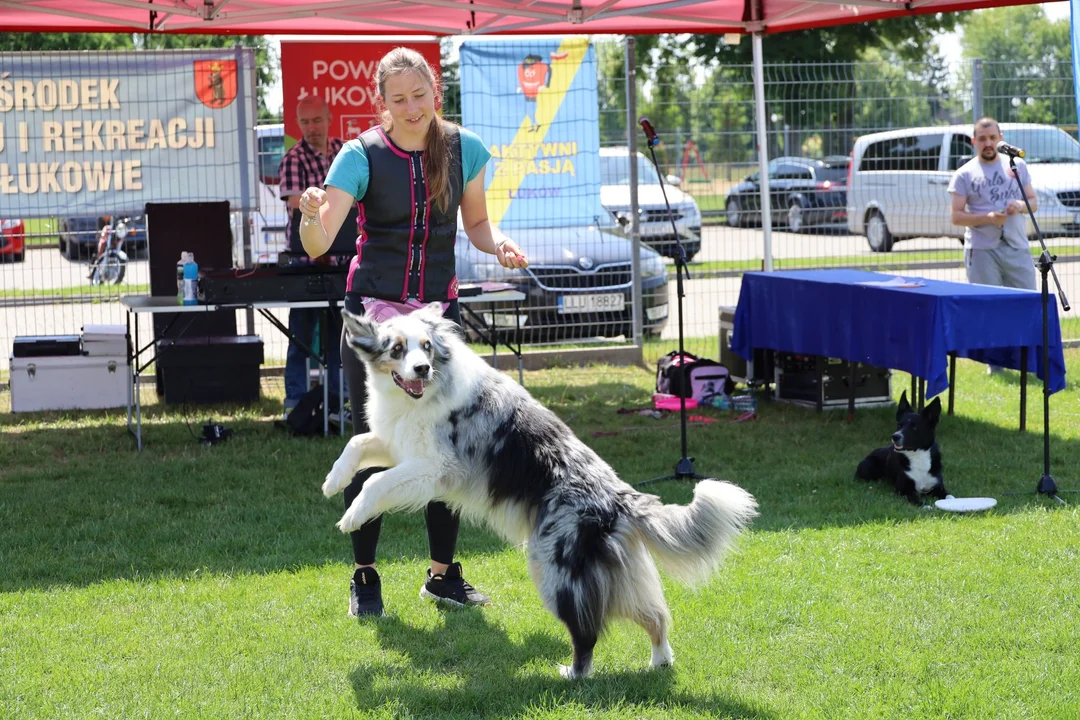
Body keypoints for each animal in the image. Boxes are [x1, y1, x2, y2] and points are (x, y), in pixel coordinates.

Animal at [319, 306, 760, 682]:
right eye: (397, 349)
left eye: (426, 347)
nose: (422, 368)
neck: (424, 394)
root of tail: (621, 498)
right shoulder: (399, 445)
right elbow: (357, 443)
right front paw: (333, 481)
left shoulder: (438, 468)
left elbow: (375, 482)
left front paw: (352, 515)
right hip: (619, 572)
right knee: (654, 615)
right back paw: (659, 661)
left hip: (553, 567)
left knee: (588, 631)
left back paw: (574, 673)